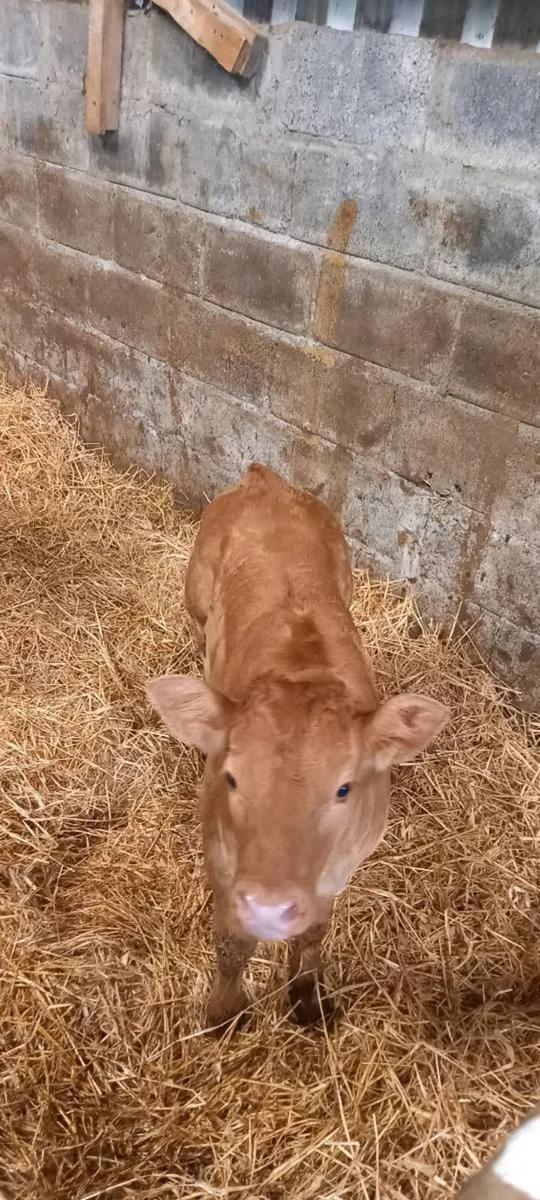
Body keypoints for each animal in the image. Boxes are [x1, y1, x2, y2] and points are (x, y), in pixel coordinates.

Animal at [146, 464, 450, 1030]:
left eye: (345, 789)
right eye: (233, 777)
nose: (270, 907)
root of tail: (263, 479)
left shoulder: (340, 865)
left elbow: (313, 932)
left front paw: (307, 998)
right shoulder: (222, 860)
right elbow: (232, 943)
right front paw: (224, 1014)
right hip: (196, 596)